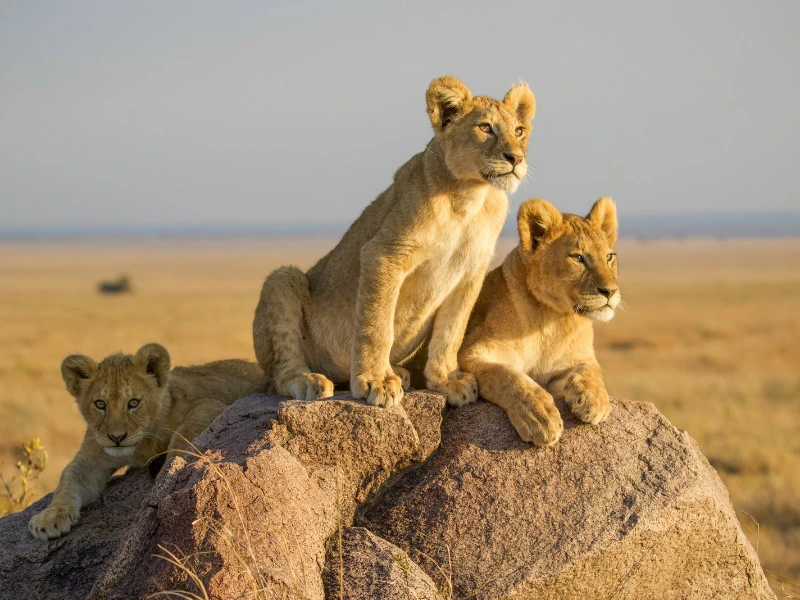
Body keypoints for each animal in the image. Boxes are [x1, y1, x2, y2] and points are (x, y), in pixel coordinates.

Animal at [28, 343, 264, 540]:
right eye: (100, 404)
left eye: (133, 403)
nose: (116, 438)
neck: (140, 446)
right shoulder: (92, 457)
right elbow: (67, 480)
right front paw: (49, 518)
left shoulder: (210, 405)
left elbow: (182, 436)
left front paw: (166, 476)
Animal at [253, 76, 536, 408]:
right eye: (485, 127)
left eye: (519, 131)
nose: (516, 158)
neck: (469, 196)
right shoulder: (384, 254)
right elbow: (376, 325)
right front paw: (375, 381)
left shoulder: (470, 272)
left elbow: (451, 332)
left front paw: (447, 380)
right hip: (283, 279)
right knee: (280, 373)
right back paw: (309, 380)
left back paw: (398, 372)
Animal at [458, 196, 621, 446]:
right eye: (578, 258)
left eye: (609, 257)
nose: (610, 292)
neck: (552, 319)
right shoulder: (469, 352)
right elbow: (508, 377)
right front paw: (540, 417)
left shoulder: (573, 360)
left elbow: (592, 370)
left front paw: (595, 401)